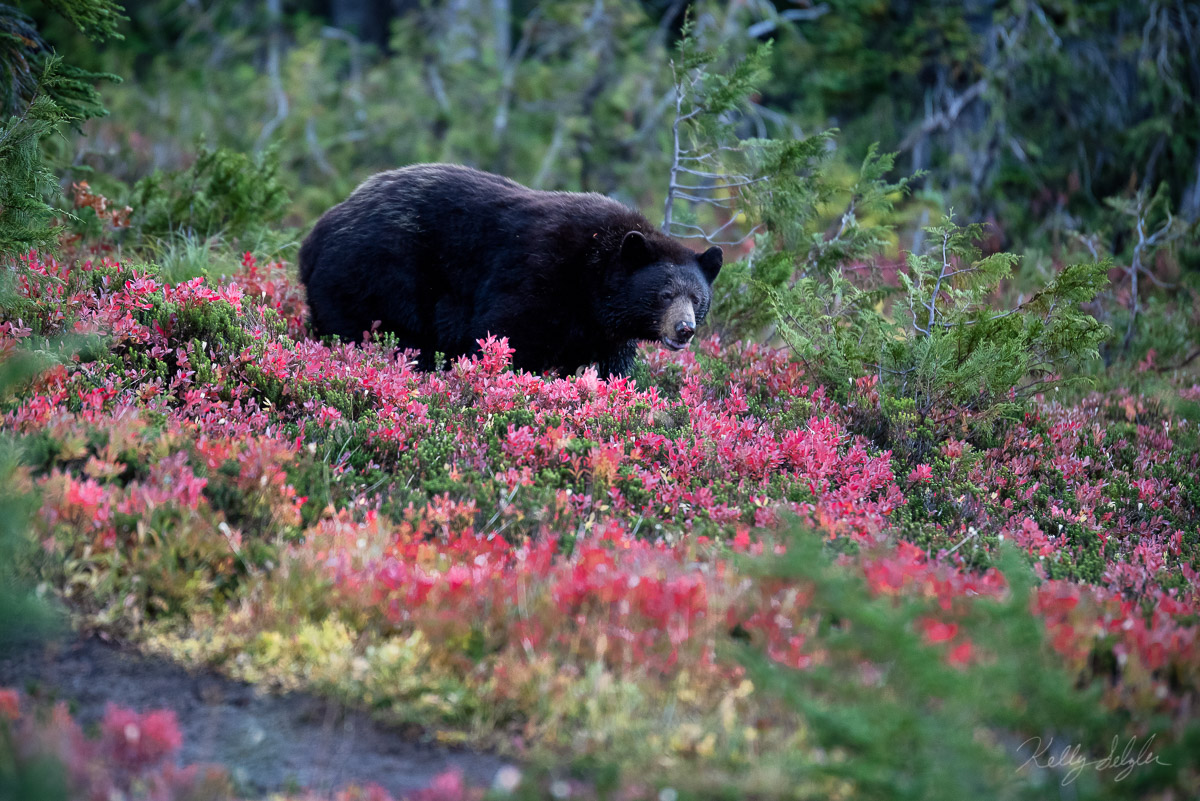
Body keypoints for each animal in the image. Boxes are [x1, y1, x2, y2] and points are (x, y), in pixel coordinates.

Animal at [298, 163, 720, 378]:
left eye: (698, 299)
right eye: (664, 294)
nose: (684, 328)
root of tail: (314, 236)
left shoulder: (604, 330)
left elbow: (612, 366)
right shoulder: (537, 276)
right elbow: (506, 335)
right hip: (371, 278)